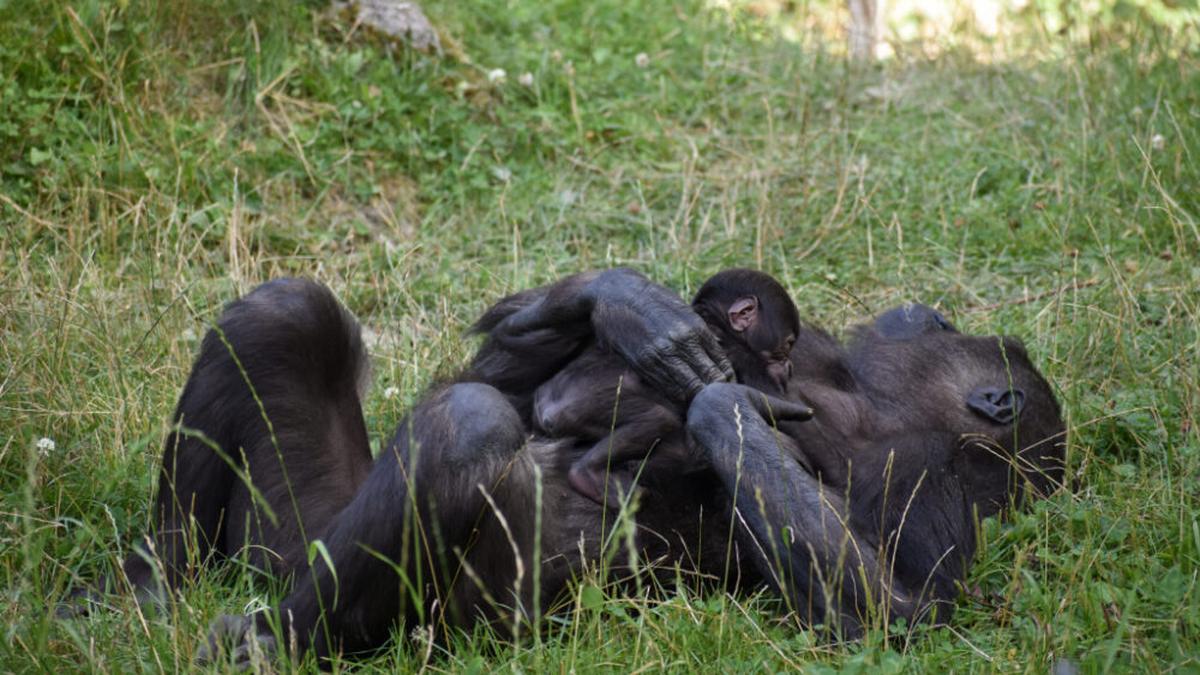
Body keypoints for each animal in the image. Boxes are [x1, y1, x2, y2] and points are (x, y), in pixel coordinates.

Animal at [532, 267, 796, 504]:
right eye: (787, 345)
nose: (788, 364)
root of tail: (546, 411)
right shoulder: (742, 354)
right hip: (588, 406)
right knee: (658, 419)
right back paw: (586, 475)